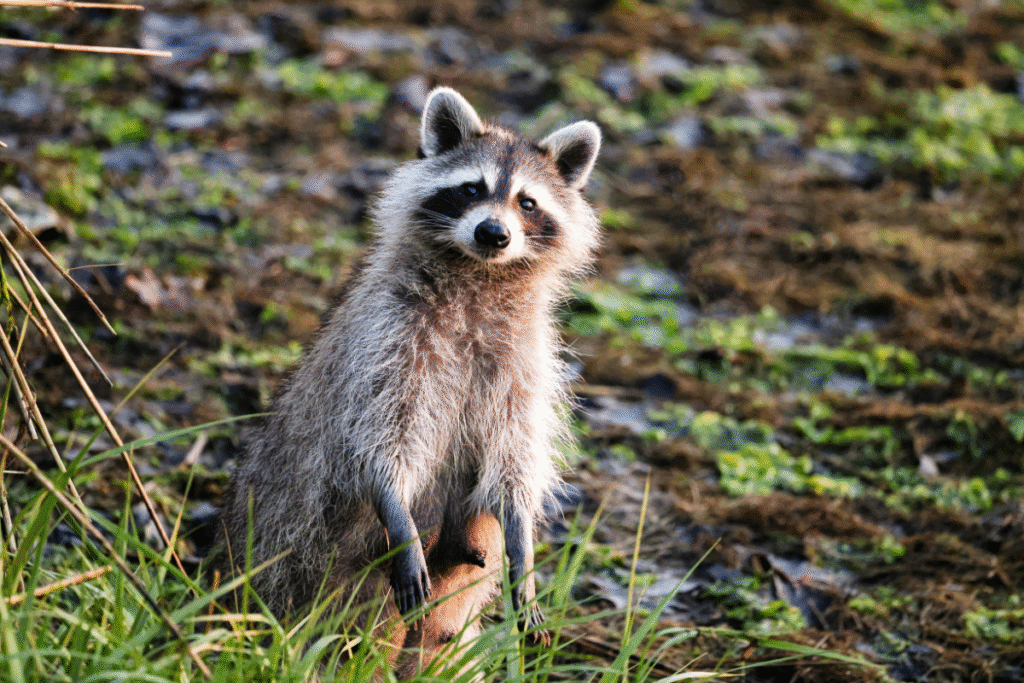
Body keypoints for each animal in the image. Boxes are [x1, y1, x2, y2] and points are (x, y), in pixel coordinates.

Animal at [221, 87, 601, 674]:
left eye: (528, 203)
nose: (494, 233)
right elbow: (377, 442)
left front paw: (523, 542)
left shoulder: (525, 361)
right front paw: (395, 506)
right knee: (352, 631)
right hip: (307, 562)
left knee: (439, 637)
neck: (478, 275)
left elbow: (513, 459)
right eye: (472, 188)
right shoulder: (387, 339)